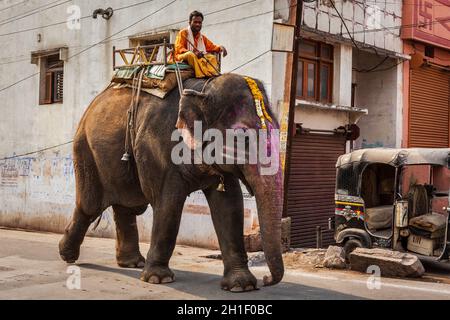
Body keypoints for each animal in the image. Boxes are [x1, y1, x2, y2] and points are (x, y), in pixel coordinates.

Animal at [59, 73, 284, 292]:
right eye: (242, 137)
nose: (266, 279)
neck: (202, 89)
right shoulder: (156, 146)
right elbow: (168, 203)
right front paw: (158, 279)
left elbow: (230, 206)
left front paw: (241, 285)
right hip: (84, 149)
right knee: (90, 206)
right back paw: (67, 255)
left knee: (126, 206)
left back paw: (132, 263)